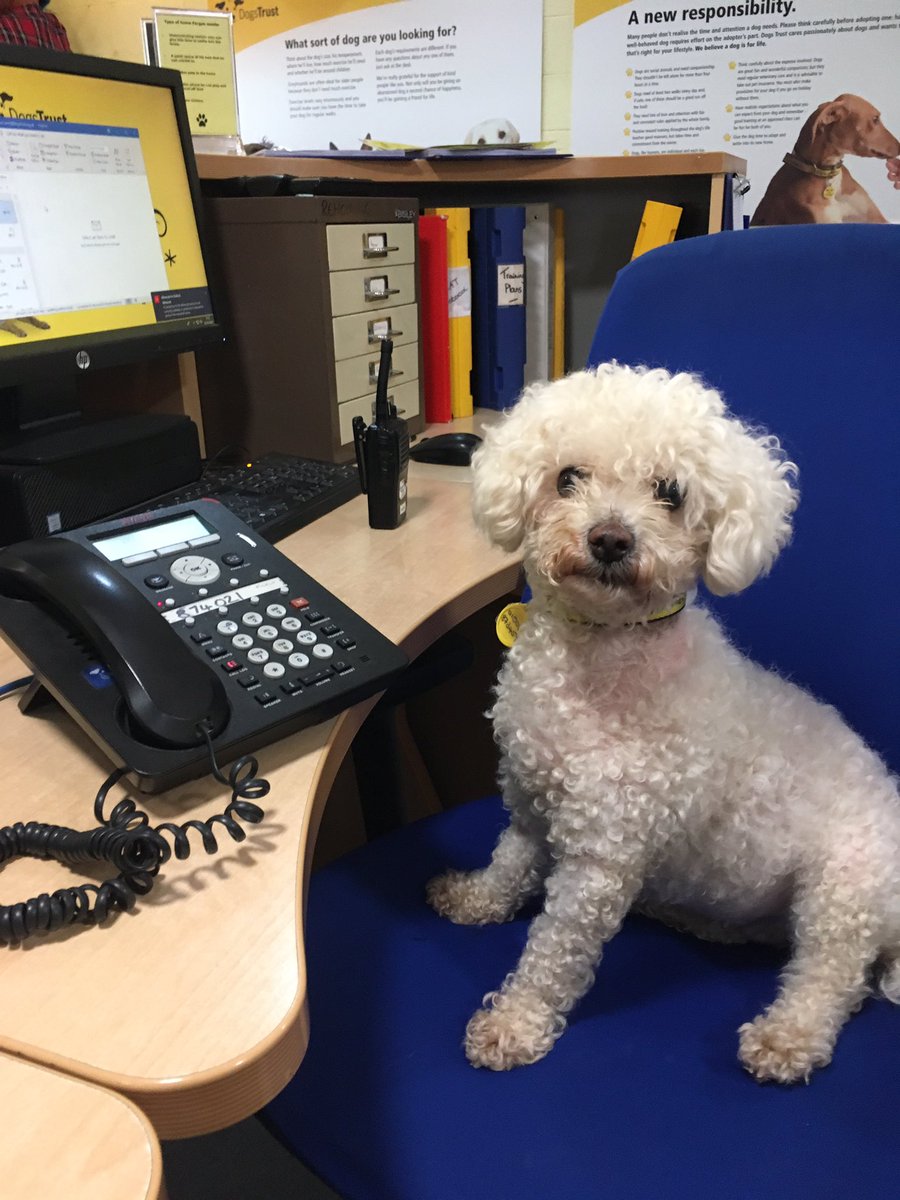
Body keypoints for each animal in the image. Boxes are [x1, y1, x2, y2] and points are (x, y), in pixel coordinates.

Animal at [426, 364, 900, 1084]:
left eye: (670, 493)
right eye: (568, 477)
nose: (610, 539)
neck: (600, 651)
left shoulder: (601, 856)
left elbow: (553, 953)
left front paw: (515, 1022)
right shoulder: (530, 802)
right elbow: (508, 864)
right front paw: (476, 899)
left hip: (845, 890)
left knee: (834, 975)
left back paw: (786, 1037)